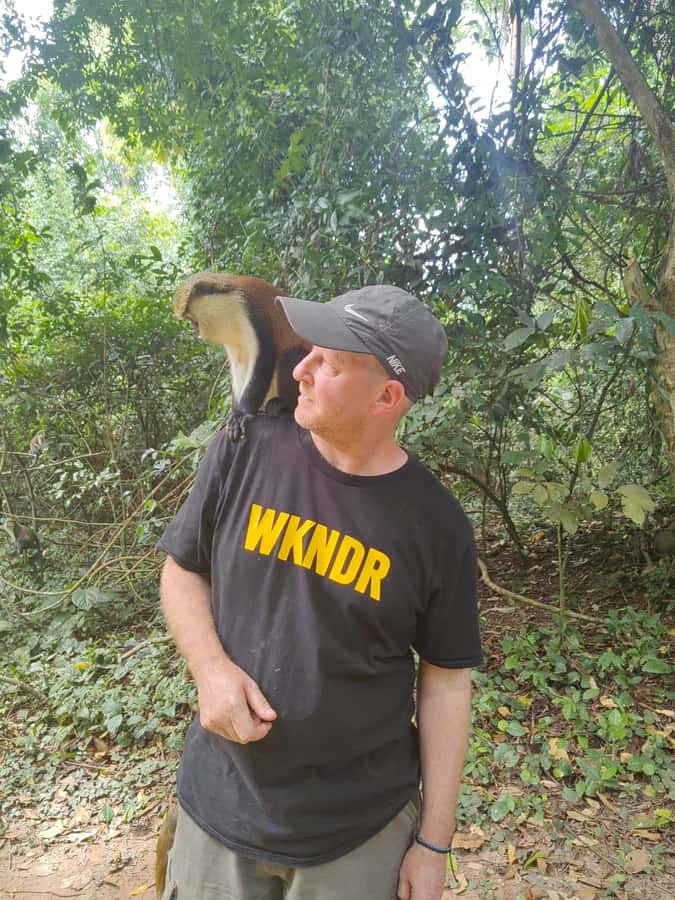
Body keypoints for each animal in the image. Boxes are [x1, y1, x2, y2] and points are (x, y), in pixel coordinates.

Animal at [174, 273, 310, 441]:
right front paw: (234, 413)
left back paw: (284, 404)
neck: (227, 302)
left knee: (291, 353)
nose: (197, 329)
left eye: (191, 319)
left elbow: (264, 357)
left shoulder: (250, 312)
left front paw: (241, 415)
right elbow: (239, 365)